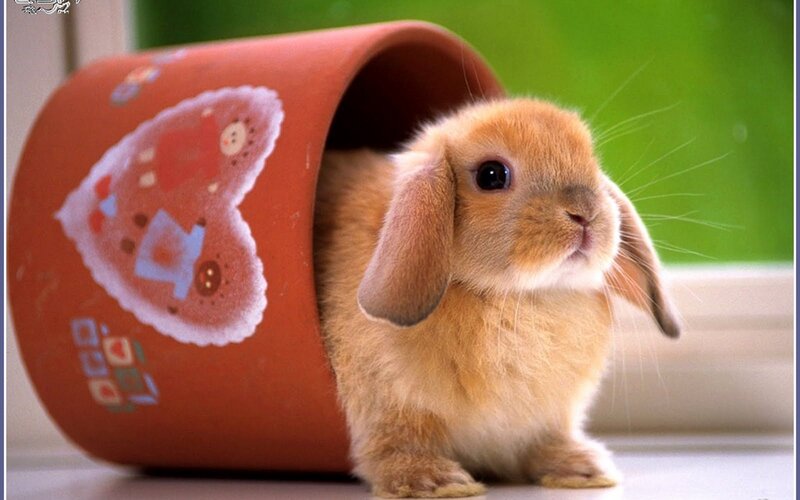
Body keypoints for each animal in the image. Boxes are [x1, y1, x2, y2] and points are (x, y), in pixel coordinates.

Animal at [313, 97, 680, 498]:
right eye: (491, 176)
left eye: (592, 162)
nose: (585, 214)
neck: (516, 296)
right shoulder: (391, 407)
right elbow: (395, 444)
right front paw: (437, 482)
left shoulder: (549, 418)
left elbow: (545, 441)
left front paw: (584, 470)